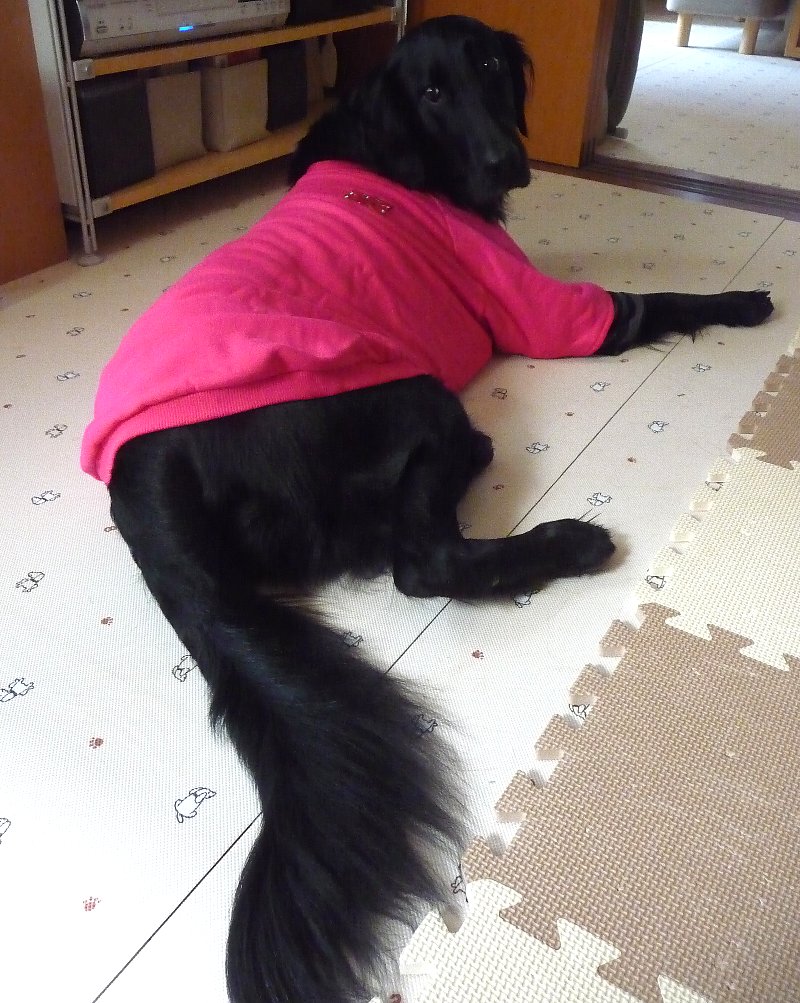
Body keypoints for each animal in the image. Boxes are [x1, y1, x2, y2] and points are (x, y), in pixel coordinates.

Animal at [81, 15, 774, 1003]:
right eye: (434, 93)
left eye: (488, 70)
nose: (507, 162)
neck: (400, 158)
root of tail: (150, 474)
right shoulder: (548, 309)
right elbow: (655, 299)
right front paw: (744, 299)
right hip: (417, 399)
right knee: (423, 560)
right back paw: (568, 539)